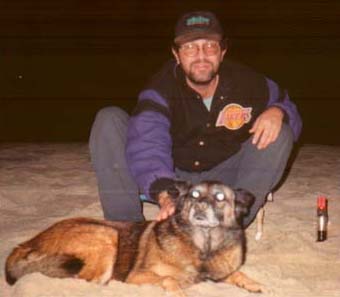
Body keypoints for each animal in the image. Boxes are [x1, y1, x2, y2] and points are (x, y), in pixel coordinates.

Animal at [5, 180, 266, 294]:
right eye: (194, 194)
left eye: (220, 197)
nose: (199, 205)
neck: (203, 245)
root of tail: (26, 243)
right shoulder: (138, 275)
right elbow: (169, 279)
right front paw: (178, 290)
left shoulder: (221, 270)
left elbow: (237, 273)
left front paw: (253, 283)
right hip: (106, 234)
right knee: (86, 282)